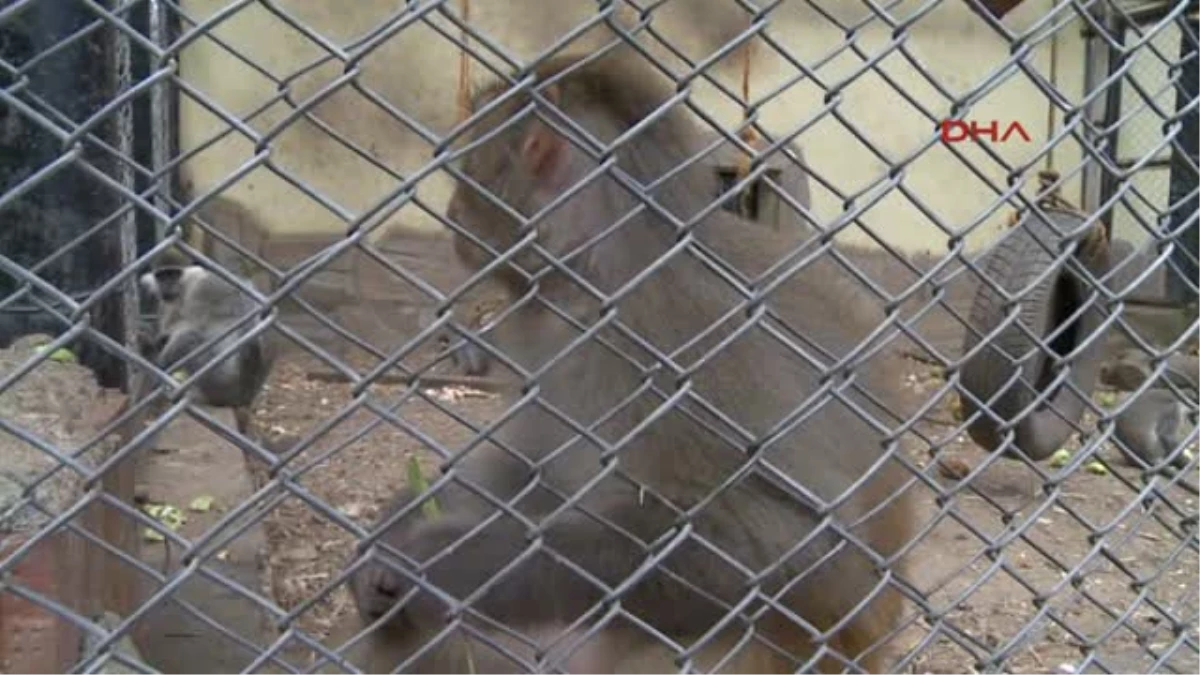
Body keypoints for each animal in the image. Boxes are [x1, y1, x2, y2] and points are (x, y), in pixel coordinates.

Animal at [137, 260, 274, 439]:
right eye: (162, 276)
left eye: (173, 274)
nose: (167, 285)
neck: (183, 288)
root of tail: (243, 398)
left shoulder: (202, 287)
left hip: (220, 380)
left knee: (188, 336)